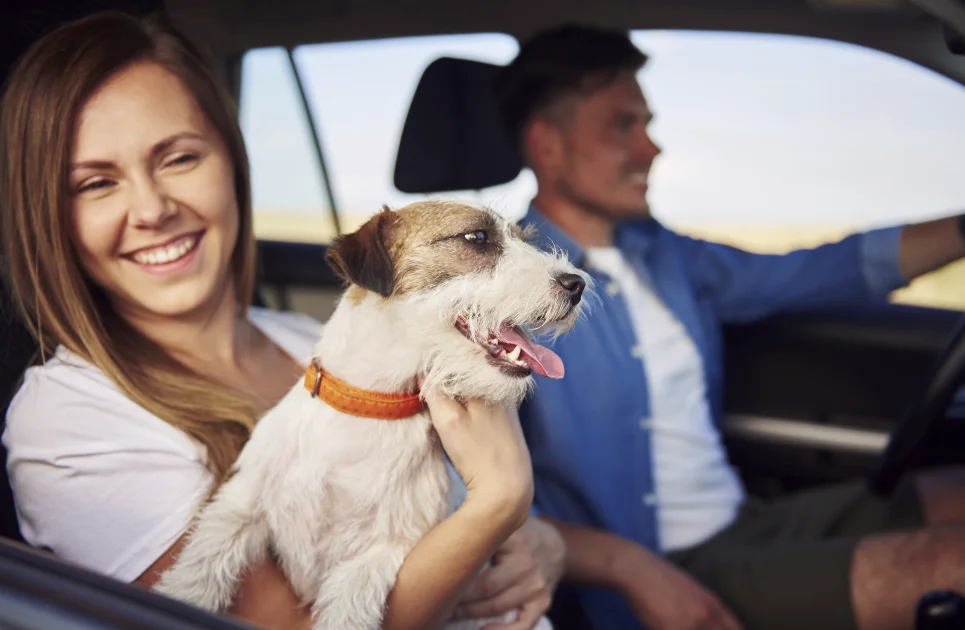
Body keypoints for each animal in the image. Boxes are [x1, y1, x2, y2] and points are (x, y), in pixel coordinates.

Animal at [156, 200, 588, 628]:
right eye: (477, 237)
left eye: (522, 238)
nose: (577, 284)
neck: (367, 407)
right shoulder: (241, 503)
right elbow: (204, 559)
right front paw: (182, 594)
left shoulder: (381, 553)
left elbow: (348, 608)